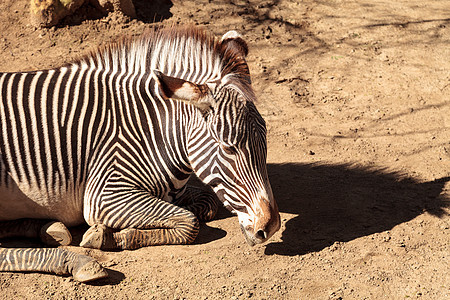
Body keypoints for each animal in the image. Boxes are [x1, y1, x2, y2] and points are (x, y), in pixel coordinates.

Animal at [0, 25, 280, 282]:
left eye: (265, 141)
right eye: (228, 148)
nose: (271, 227)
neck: (149, 128)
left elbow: (207, 202)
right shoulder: (106, 192)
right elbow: (189, 223)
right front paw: (107, 236)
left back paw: (49, 228)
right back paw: (76, 261)